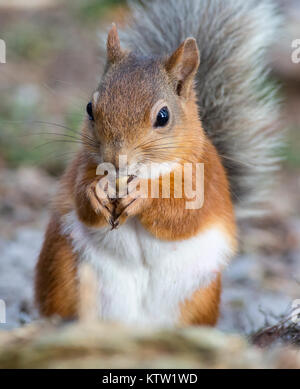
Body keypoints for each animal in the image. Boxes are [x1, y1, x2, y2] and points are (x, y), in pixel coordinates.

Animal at [35, 0, 282, 326]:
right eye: (89, 108)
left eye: (163, 116)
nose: (115, 158)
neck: (143, 172)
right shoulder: (81, 168)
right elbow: (82, 201)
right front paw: (95, 193)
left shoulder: (205, 181)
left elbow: (181, 215)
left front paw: (145, 196)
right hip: (64, 271)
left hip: (198, 297)